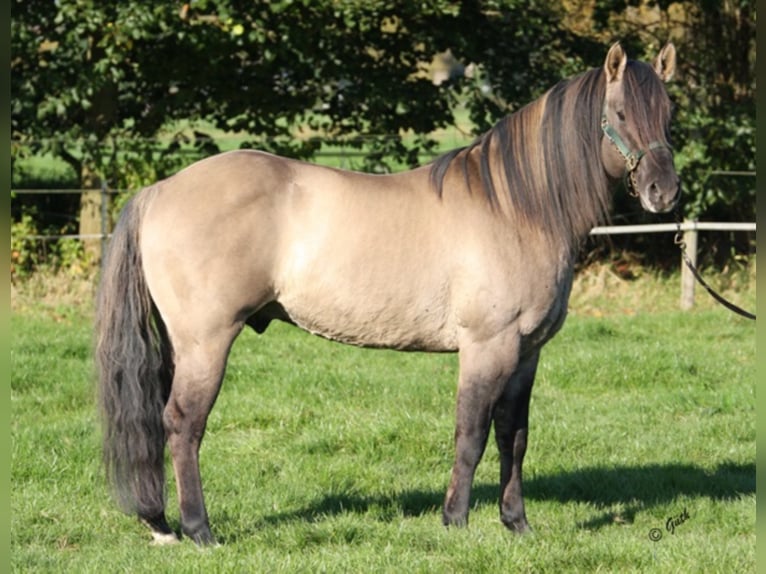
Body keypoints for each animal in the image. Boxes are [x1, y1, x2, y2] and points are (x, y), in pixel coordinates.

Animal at [96, 42, 679, 545]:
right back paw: (199, 531)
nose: (664, 192)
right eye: (620, 113)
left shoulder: (526, 352)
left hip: (181, 344)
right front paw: (455, 522)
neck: (518, 207)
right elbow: (471, 434)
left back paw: (162, 524)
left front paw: (517, 524)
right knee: (183, 424)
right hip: (207, 342)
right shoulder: (487, 347)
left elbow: (513, 436)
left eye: (669, 113)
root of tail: (158, 191)